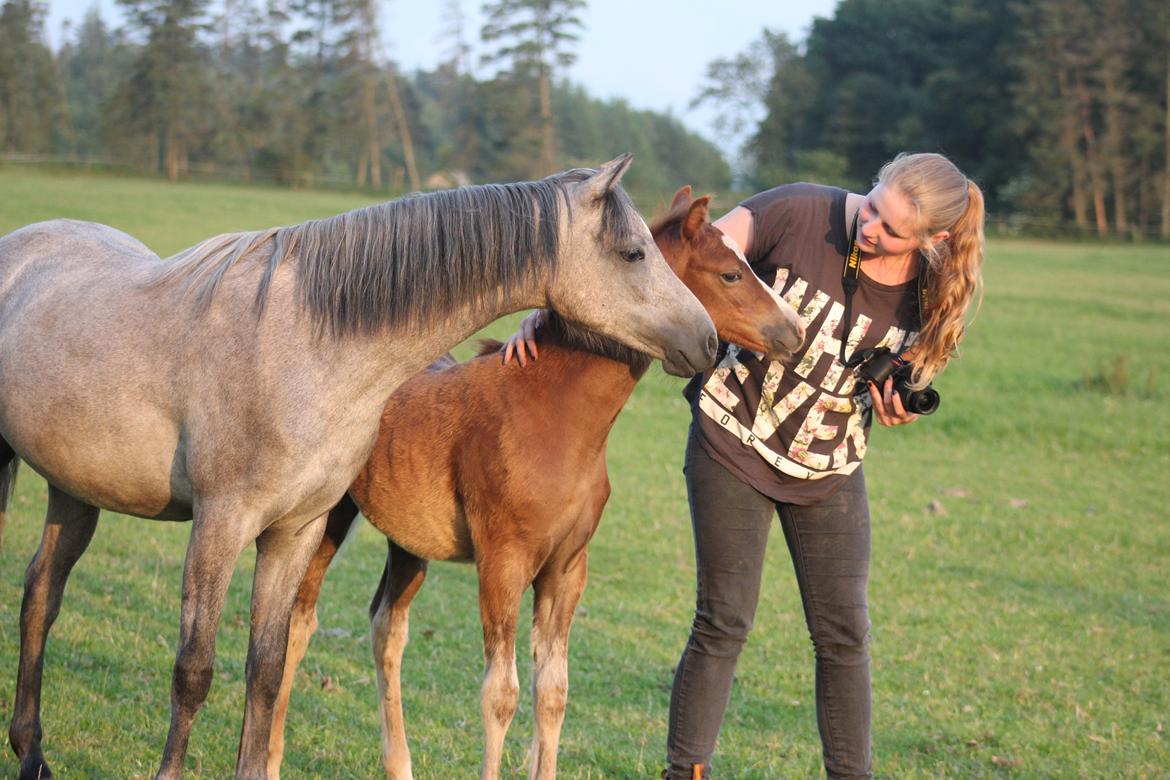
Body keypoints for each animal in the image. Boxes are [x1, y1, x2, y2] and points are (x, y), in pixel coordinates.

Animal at [0, 155, 718, 780]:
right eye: (634, 253)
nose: (707, 341)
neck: (310, 344)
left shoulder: (295, 530)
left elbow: (265, 669)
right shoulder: (220, 526)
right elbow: (194, 670)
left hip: (75, 490)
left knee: (41, 593)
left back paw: (32, 754)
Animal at [266, 186, 806, 779]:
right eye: (730, 274)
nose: (794, 331)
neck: (555, 414)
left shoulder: (566, 569)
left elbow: (553, 693)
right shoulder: (503, 561)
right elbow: (500, 694)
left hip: (407, 539)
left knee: (388, 627)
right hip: (326, 520)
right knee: (296, 627)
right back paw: (270, 759)